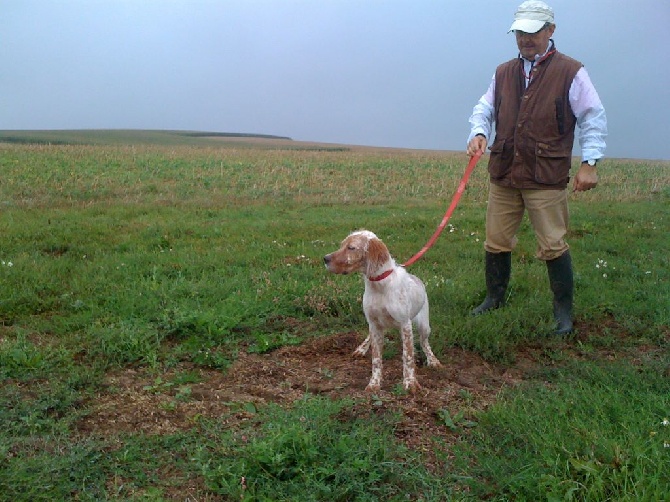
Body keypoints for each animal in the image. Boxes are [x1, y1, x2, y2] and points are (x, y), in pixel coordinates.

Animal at [324, 230, 444, 392]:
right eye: (342, 245)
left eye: (351, 248)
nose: (325, 258)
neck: (379, 285)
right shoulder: (374, 323)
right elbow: (376, 359)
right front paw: (374, 383)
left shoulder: (405, 325)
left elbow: (408, 357)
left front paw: (410, 383)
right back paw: (362, 348)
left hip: (424, 325)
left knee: (424, 342)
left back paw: (433, 360)